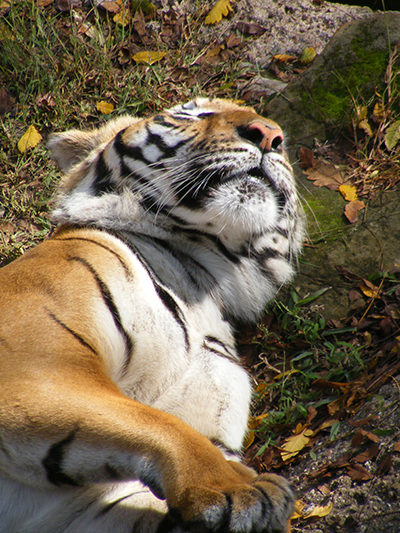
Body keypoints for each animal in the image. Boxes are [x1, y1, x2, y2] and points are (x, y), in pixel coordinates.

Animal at [0, 98, 304, 532]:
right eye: (193, 112)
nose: (270, 134)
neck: (203, 275)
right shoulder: (36, 365)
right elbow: (159, 423)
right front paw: (239, 487)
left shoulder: (86, 506)